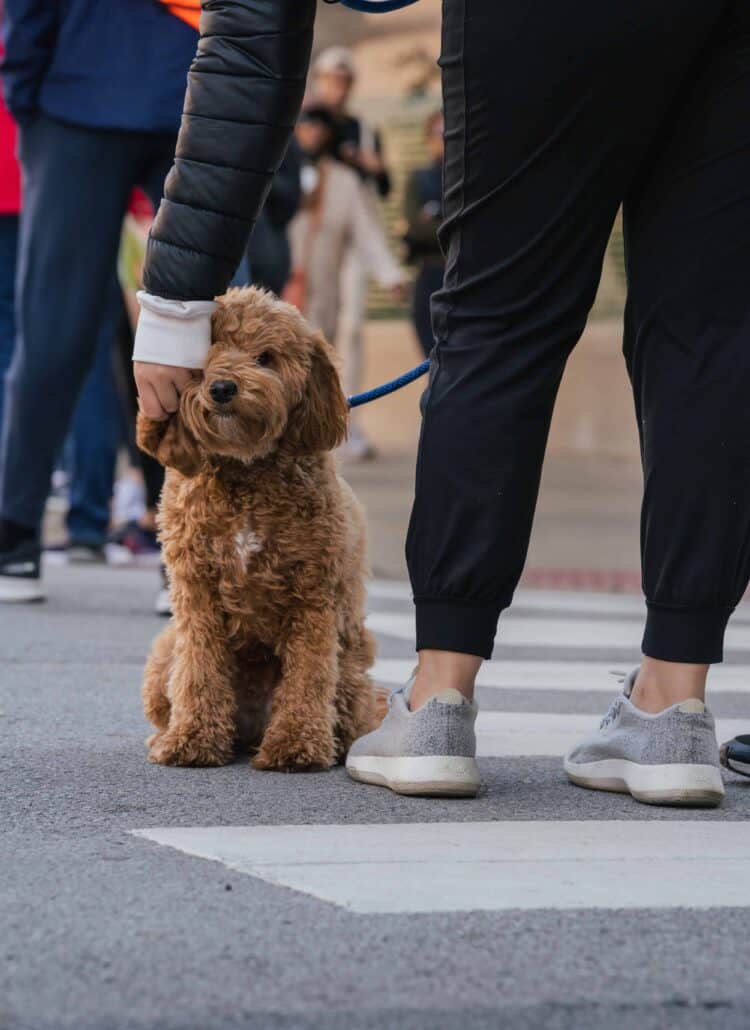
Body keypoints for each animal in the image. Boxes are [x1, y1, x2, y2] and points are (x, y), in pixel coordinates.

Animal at [138, 286, 387, 770]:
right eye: (206, 350)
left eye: (265, 357)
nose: (221, 388)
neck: (247, 474)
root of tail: (250, 727)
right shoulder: (196, 593)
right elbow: (199, 671)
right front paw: (193, 738)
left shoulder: (313, 598)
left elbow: (308, 676)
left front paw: (296, 744)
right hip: (162, 657)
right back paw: (170, 735)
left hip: (350, 671)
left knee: (347, 706)